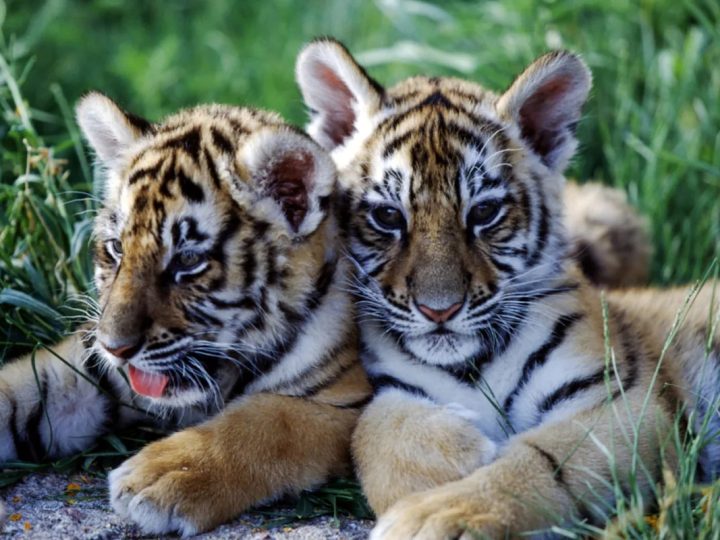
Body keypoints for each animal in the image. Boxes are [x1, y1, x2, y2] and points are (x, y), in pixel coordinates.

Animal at [0, 92, 371, 536]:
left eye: (188, 260)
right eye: (117, 248)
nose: (114, 348)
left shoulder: (357, 403)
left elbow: (269, 419)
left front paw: (161, 476)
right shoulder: (87, 370)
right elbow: (17, 389)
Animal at [295, 39, 719, 538]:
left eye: (484, 212)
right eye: (387, 216)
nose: (439, 310)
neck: (473, 366)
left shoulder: (626, 400)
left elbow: (545, 461)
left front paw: (434, 515)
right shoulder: (389, 387)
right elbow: (370, 434)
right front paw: (455, 455)